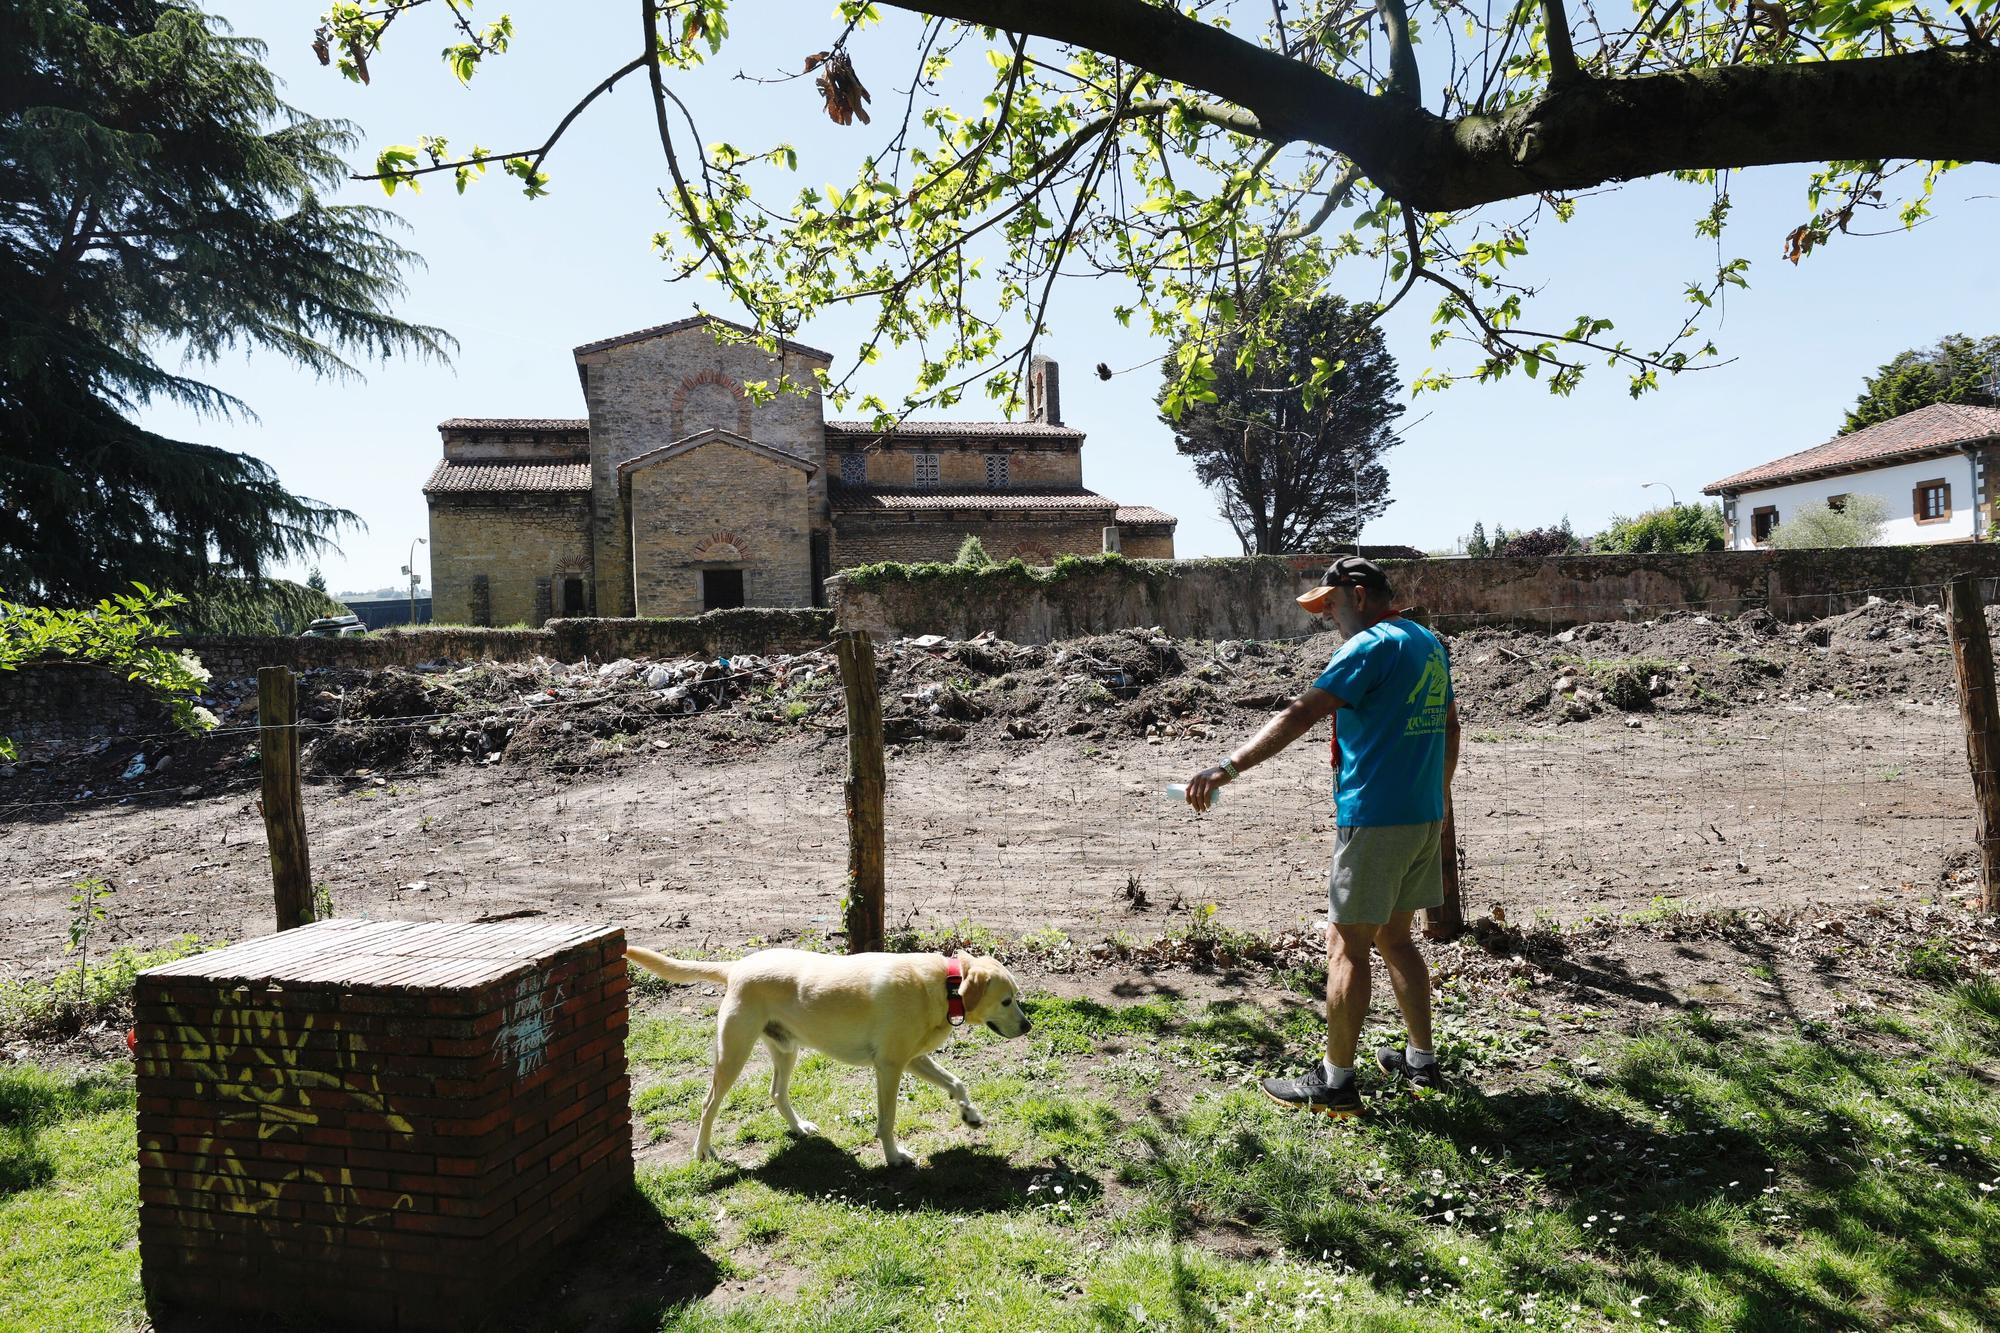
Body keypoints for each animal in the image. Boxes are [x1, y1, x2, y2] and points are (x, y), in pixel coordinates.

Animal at [628, 944, 1032, 1160]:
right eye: (1007, 1001)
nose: (1028, 1027)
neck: (943, 984)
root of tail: (737, 966)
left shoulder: (913, 1059)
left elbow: (957, 1083)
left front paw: (970, 1115)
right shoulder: (889, 1068)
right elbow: (887, 1121)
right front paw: (894, 1157)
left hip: (785, 1050)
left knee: (776, 1093)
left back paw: (799, 1127)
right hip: (733, 1055)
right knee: (708, 1104)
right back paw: (702, 1150)